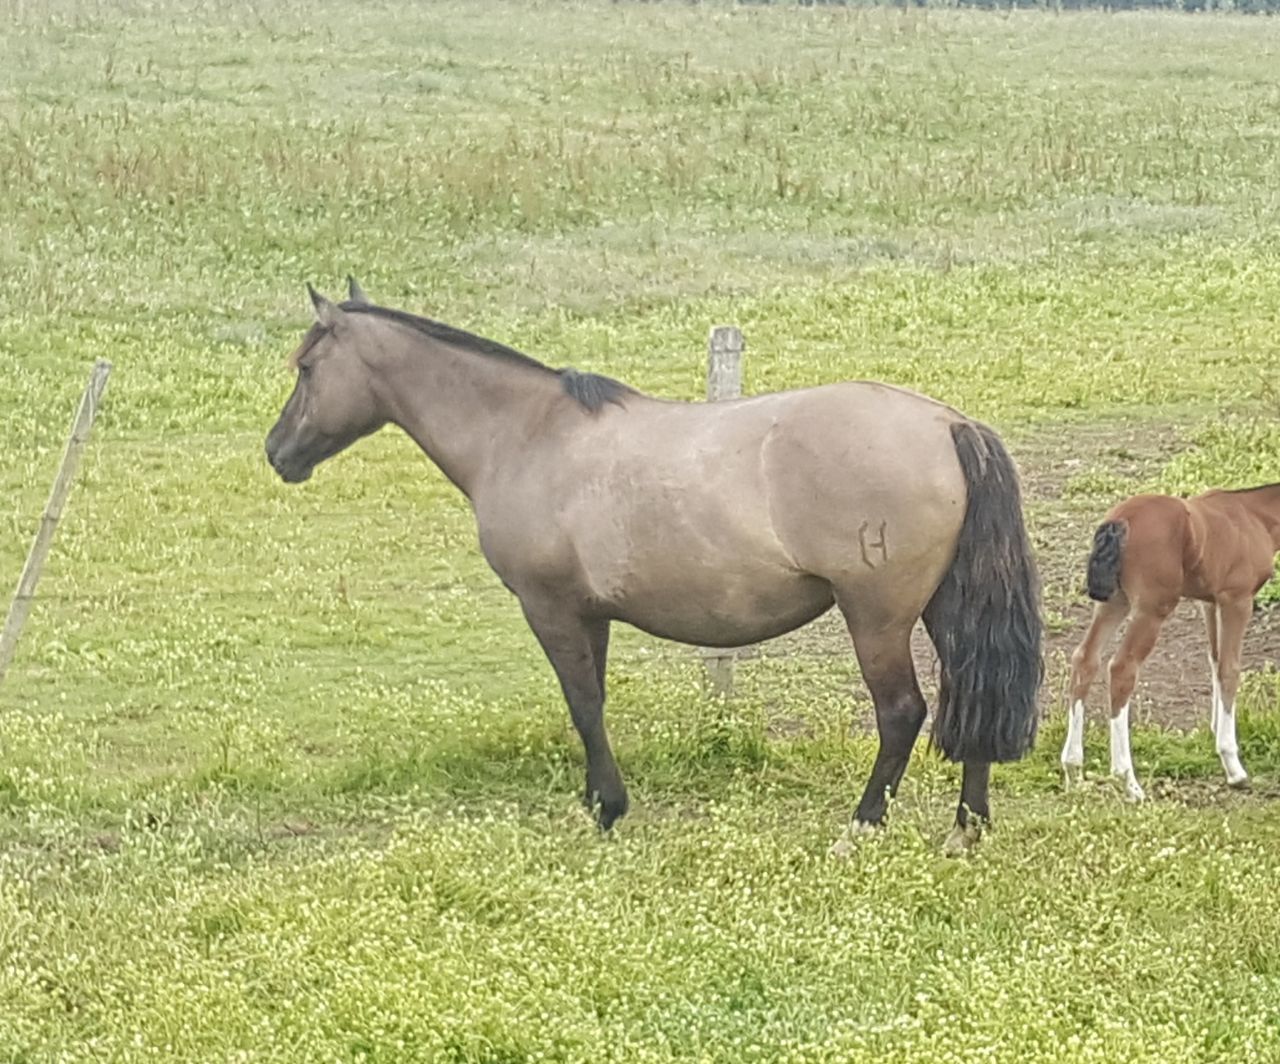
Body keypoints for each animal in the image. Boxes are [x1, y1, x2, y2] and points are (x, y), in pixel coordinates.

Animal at [265, 280, 1043, 853]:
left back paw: (860, 828)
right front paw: (595, 800)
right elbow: (595, 700)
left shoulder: (550, 608)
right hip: (943, 607)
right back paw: (966, 831)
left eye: (305, 366)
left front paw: (608, 808)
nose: (277, 452)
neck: (527, 435)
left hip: (875, 617)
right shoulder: (590, 614)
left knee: (902, 713)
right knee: (970, 698)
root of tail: (947, 424)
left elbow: (582, 704)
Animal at [1063, 484, 1280, 800]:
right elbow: (1230, 669)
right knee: (1122, 668)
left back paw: (1073, 768)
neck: (1255, 516)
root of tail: (1119, 521)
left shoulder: (1209, 602)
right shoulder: (1237, 599)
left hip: (1114, 602)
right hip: (1152, 609)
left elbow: (1215, 661)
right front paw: (1233, 766)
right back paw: (1128, 780)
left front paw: (1214, 732)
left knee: (1085, 659)